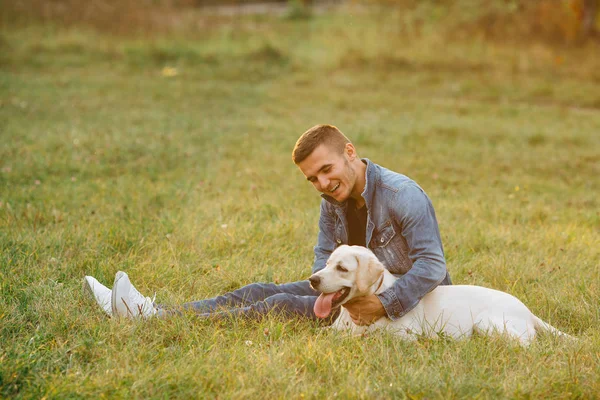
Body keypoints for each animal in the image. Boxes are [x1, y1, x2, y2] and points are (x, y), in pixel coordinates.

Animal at [310, 245, 572, 346]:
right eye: (328, 263)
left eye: (342, 268)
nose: (313, 280)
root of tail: (528, 311)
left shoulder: (404, 336)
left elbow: (369, 337)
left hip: (486, 323)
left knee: (528, 345)